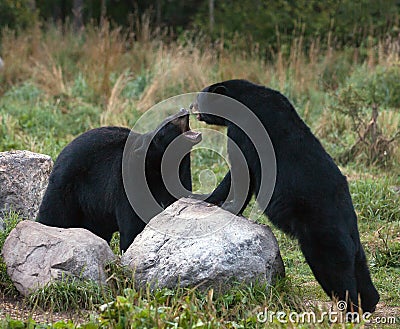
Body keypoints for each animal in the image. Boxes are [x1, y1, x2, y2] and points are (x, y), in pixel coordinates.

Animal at [38, 109, 202, 250]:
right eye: (167, 124)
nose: (183, 111)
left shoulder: (181, 178)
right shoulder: (130, 184)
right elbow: (132, 224)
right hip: (67, 187)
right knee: (54, 214)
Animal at [192, 79, 380, 312]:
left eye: (200, 98)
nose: (192, 107)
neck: (241, 100)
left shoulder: (244, 130)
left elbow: (241, 170)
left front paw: (219, 203)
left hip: (322, 234)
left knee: (335, 270)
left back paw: (350, 309)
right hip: (352, 235)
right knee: (360, 265)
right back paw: (370, 303)